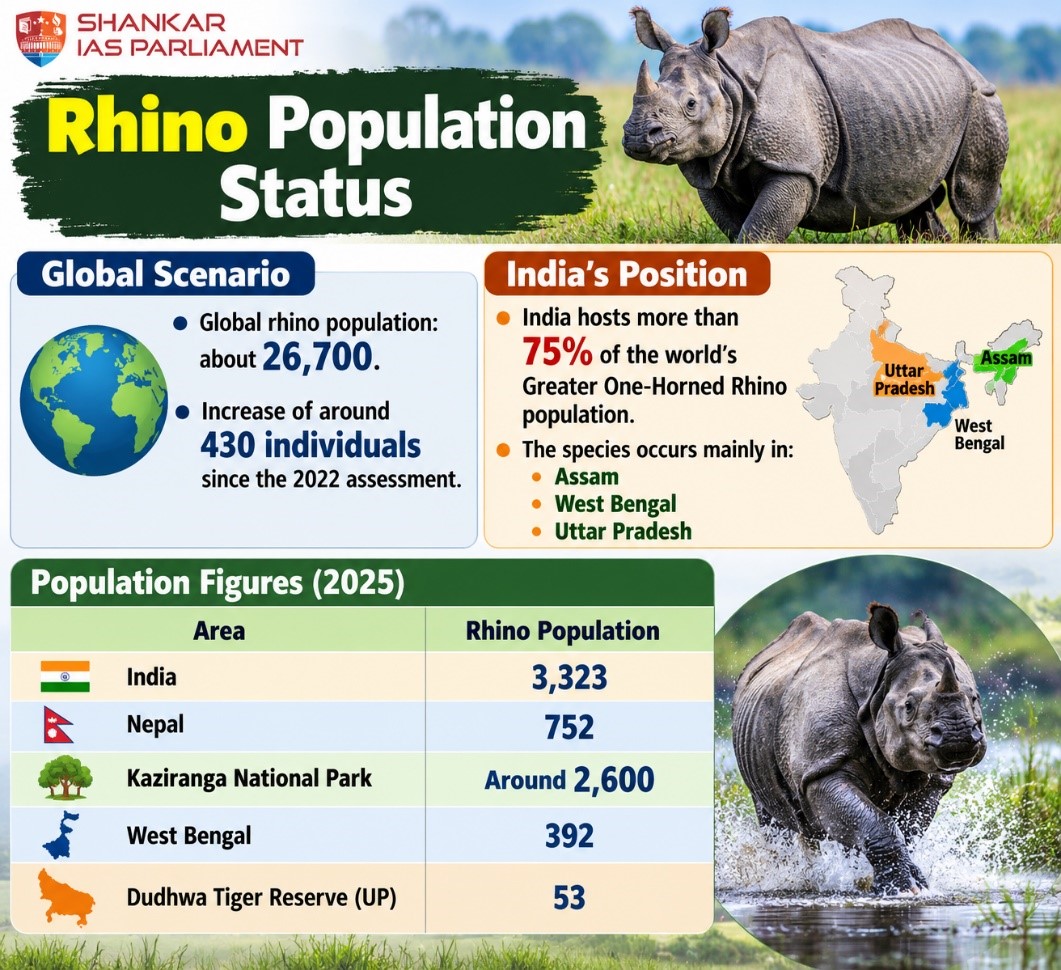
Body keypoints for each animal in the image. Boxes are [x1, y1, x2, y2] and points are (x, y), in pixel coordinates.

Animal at [622, 7, 1008, 242]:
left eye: (690, 105)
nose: (637, 137)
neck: (730, 80)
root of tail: (961, 56)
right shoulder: (713, 165)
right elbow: (739, 230)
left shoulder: (795, 167)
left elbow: (757, 232)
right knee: (915, 202)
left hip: (981, 99)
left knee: (970, 197)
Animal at [732, 602, 986, 894]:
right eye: (908, 706)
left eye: (974, 698)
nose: (958, 737)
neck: (876, 681)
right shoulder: (822, 769)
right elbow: (880, 824)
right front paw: (901, 888)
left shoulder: (934, 780)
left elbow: (902, 829)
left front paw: (913, 882)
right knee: (773, 818)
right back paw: (788, 876)